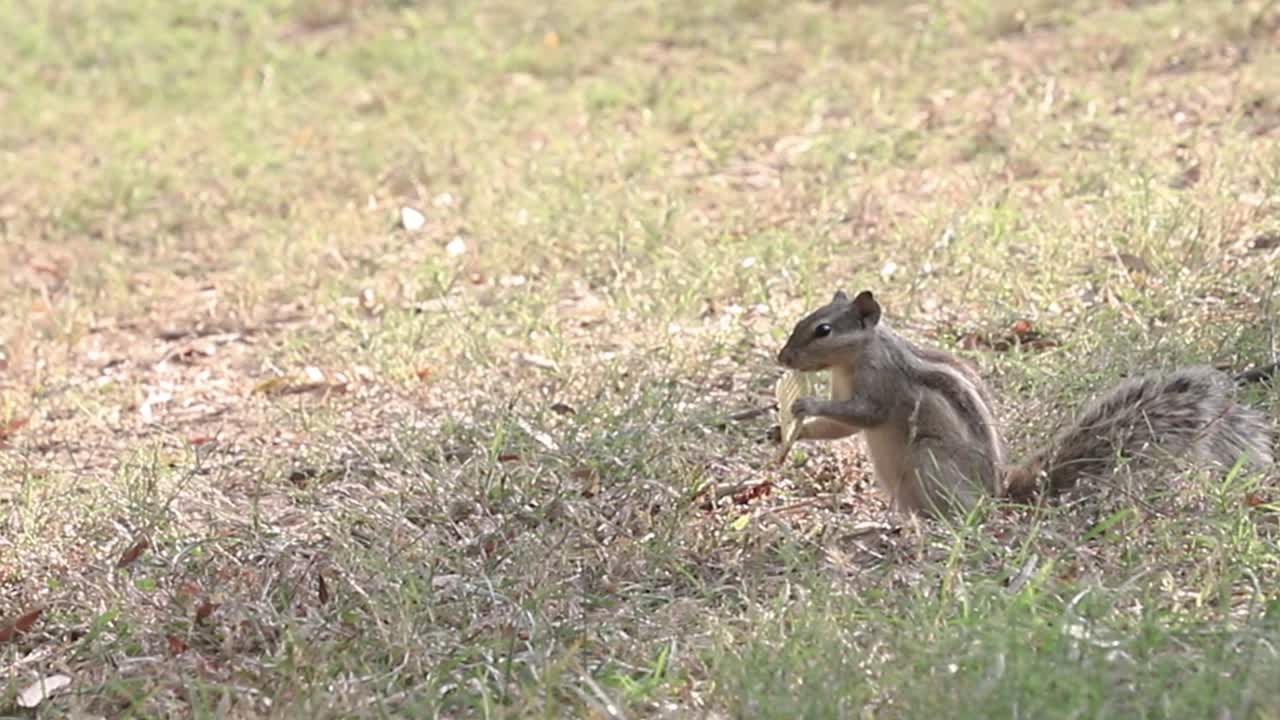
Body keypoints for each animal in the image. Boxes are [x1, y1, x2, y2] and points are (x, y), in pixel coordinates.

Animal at [772, 289, 1277, 518]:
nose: (782, 358)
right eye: (804, 321)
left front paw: (802, 404)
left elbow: (865, 415)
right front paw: (785, 428)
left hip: (929, 461)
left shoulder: (882, 385)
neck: (858, 356)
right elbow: (841, 428)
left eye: (823, 330)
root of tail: (1000, 489)